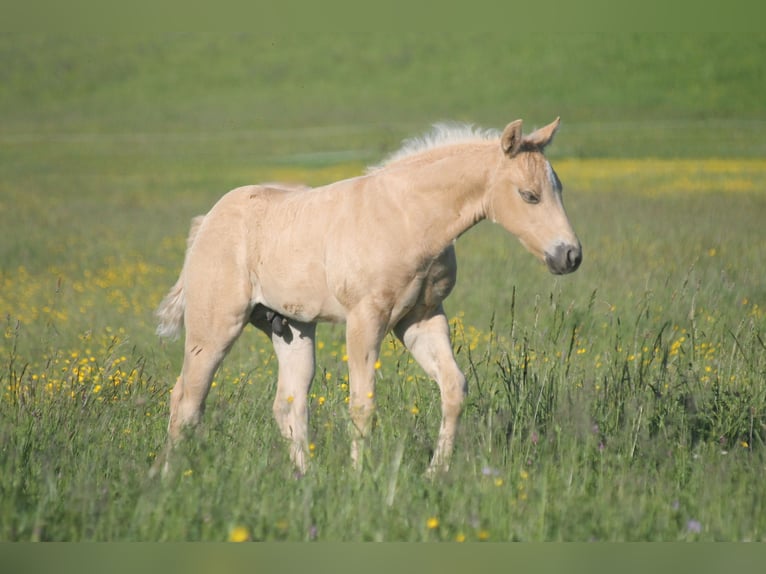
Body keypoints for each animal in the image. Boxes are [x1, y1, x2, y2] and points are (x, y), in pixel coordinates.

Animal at [152, 117, 582, 477]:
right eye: (529, 196)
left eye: (558, 188)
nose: (570, 256)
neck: (409, 218)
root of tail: (206, 222)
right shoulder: (366, 318)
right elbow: (362, 403)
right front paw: (361, 478)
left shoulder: (421, 318)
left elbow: (453, 388)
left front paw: (436, 472)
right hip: (215, 328)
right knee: (186, 399)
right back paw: (171, 477)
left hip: (291, 327)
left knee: (289, 403)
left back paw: (306, 478)